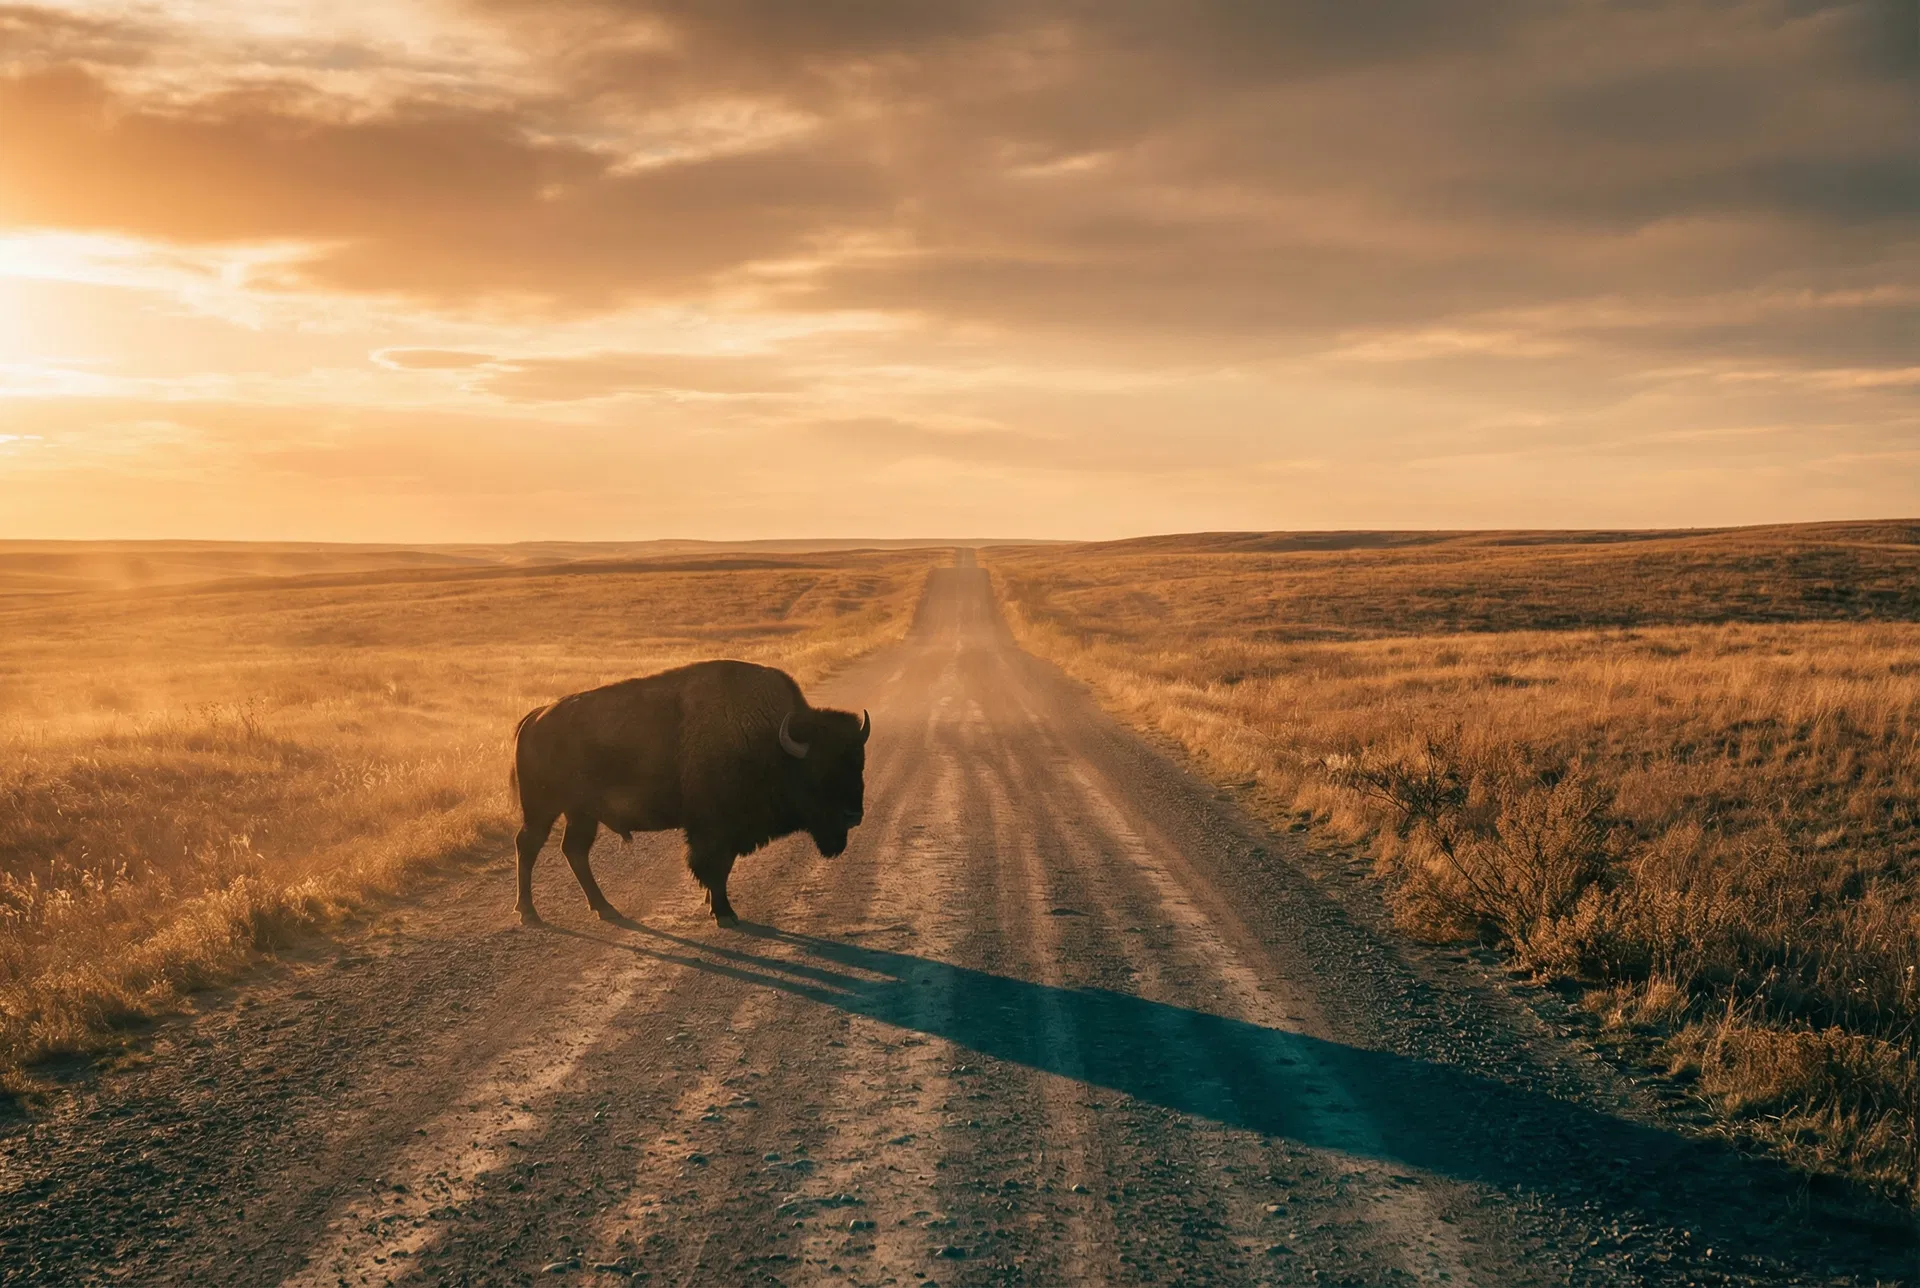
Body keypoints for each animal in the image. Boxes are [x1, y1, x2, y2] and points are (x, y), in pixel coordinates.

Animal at [510, 660, 870, 927]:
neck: (768, 742)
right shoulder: (713, 829)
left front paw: (714, 904)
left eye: (859, 764)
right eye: (818, 772)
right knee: (529, 845)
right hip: (543, 808)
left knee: (574, 851)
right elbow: (713, 867)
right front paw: (724, 913)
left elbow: (722, 868)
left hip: (581, 813)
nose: (854, 815)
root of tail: (536, 717)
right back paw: (529, 913)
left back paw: (605, 908)